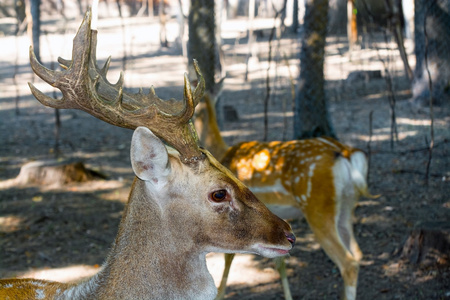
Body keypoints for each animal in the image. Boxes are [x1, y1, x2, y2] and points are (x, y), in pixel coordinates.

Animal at [195, 93, 374, 300]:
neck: (222, 152)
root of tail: (346, 154)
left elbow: (228, 258)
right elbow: (280, 260)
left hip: (318, 207)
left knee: (348, 263)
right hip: (348, 204)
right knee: (358, 253)